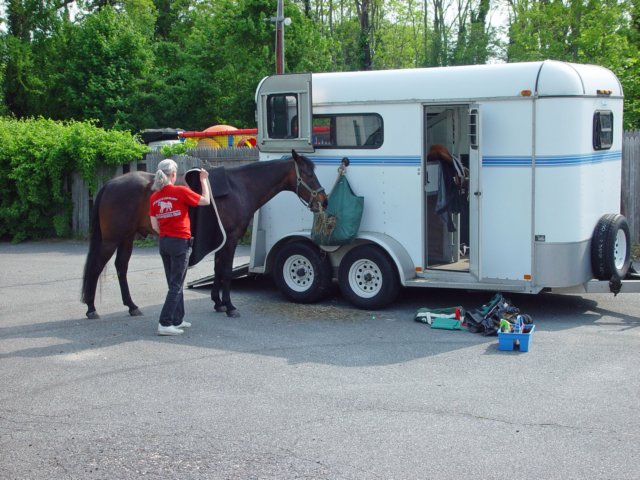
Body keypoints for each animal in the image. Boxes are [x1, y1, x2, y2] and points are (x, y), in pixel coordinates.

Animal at [82, 150, 328, 318]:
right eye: (308, 174)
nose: (323, 200)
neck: (240, 187)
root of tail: (110, 184)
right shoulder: (231, 239)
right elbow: (226, 272)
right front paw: (230, 307)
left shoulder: (223, 240)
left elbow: (218, 270)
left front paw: (218, 303)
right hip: (111, 239)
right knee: (96, 267)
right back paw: (91, 309)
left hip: (126, 238)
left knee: (121, 268)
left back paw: (132, 306)